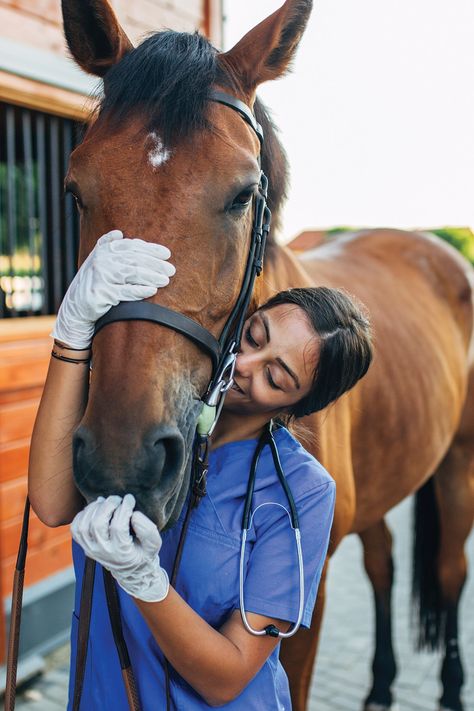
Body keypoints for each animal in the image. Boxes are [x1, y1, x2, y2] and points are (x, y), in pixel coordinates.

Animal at [60, 1, 474, 711]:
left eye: (241, 194)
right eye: (75, 190)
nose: (122, 458)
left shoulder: (307, 602)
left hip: (458, 464)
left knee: (450, 571)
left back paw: (447, 687)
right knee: (384, 561)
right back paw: (381, 684)